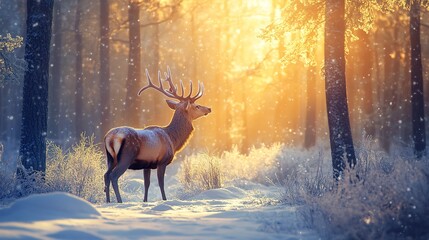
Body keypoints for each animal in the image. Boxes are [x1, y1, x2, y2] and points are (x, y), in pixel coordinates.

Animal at [103, 67, 211, 202]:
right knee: (113, 176)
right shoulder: (162, 161)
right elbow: (161, 184)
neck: (173, 140)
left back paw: (108, 201)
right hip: (126, 156)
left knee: (106, 175)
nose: (209, 109)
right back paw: (119, 201)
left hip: (110, 158)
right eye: (197, 106)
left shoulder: (147, 164)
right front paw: (165, 200)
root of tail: (111, 138)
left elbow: (147, 184)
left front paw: (145, 201)